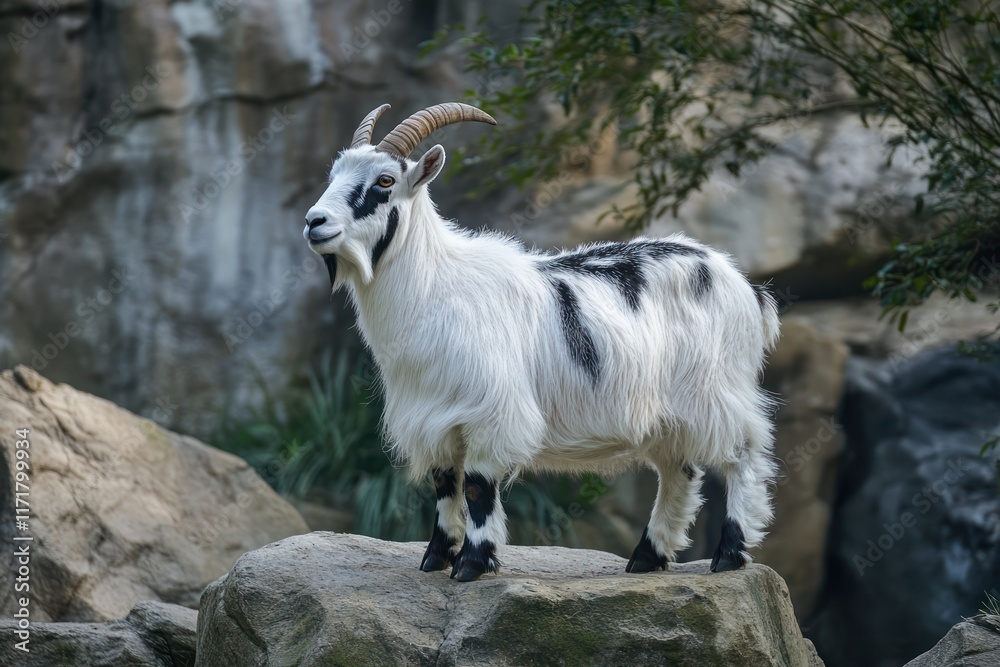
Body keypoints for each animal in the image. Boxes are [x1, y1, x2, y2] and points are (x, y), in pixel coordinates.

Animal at [304, 103, 779, 581]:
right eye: (334, 174)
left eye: (385, 181)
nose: (313, 222)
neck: (438, 283)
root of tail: (743, 284)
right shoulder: (434, 416)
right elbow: (445, 484)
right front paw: (436, 557)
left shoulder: (492, 412)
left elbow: (476, 486)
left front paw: (472, 564)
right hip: (668, 412)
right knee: (678, 470)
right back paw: (647, 557)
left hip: (717, 390)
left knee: (742, 455)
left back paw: (729, 553)